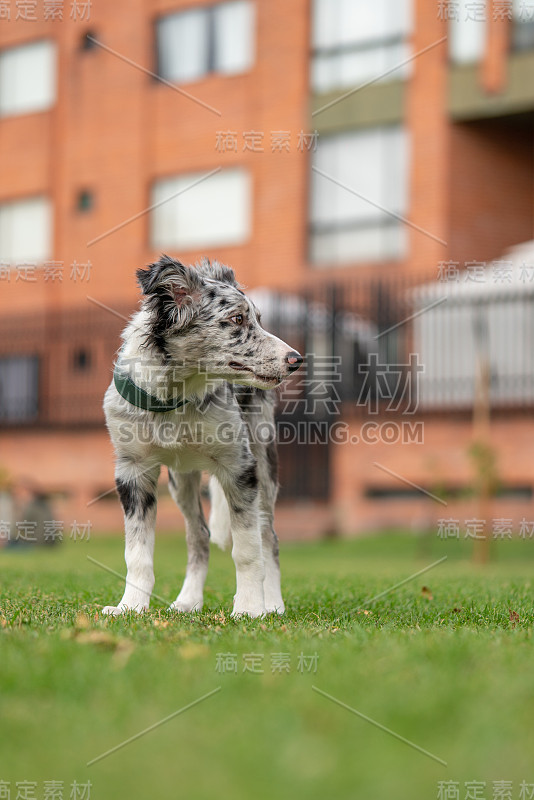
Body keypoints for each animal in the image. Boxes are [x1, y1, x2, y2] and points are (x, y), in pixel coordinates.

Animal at [100, 256, 302, 620]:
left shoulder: (239, 466)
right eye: (237, 319)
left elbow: (248, 549)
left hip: (264, 463)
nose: (296, 359)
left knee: (269, 536)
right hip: (180, 479)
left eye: (259, 319)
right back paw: (189, 600)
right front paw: (130, 606)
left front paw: (250, 609)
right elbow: (136, 553)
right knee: (199, 536)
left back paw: (274, 603)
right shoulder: (132, 471)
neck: (175, 395)